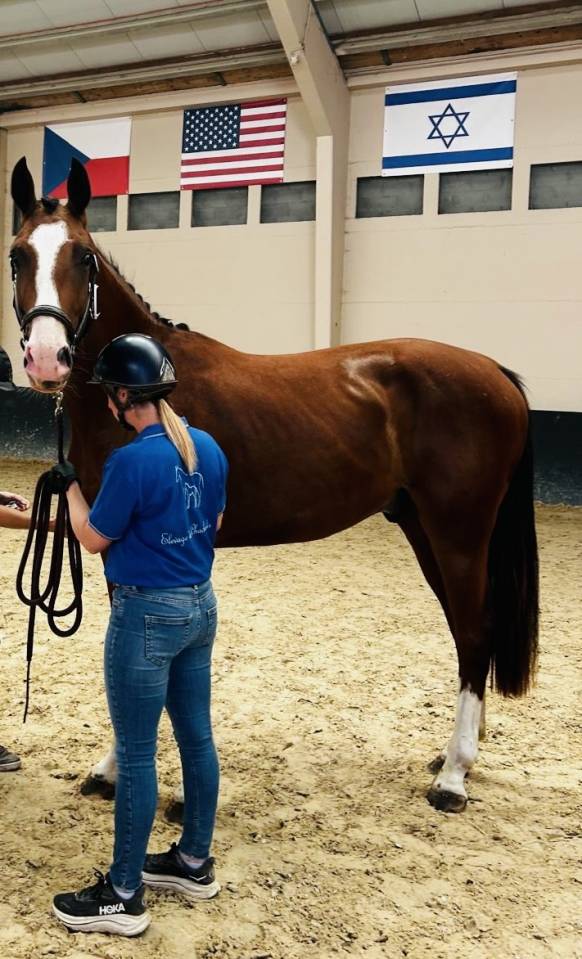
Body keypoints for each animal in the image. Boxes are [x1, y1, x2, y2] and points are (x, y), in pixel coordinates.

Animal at [8, 156, 539, 816]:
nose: (46, 357)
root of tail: (494, 372)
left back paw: (454, 776)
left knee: (474, 630)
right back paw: (452, 756)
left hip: (458, 532)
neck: (149, 385)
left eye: (81, 256)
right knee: (469, 634)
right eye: (17, 256)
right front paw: (113, 771)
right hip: (425, 528)